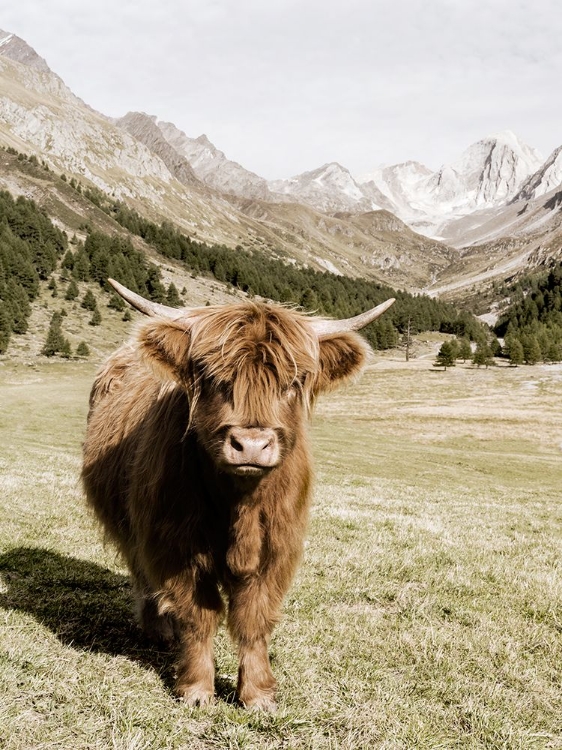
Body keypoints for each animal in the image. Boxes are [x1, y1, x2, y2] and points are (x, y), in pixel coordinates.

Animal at [81, 280, 392, 712]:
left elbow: (254, 618)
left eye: (293, 381)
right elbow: (199, 615)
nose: (251, 445)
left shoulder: (277, 548)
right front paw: (196, 688)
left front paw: (257, 693)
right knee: (142, 573)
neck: (239, 506)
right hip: (133, 528)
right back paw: (158, 630)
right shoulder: (174, 544)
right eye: (213, 377)